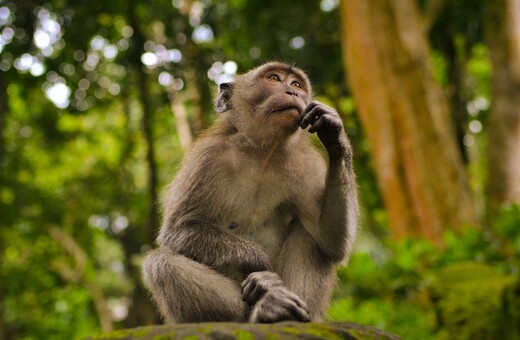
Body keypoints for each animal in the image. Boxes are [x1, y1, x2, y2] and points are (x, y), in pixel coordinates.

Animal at [144, 61, 360, 324]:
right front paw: (262, 267)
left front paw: (334, 133)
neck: (262, 152)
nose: (293, 92)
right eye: (274, 78)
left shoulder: (305, 165)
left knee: (311, 236)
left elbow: (331, 240)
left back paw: (294, 314)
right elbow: (178, 230)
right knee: (160, 262)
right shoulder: (207, 158)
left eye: (297, 84)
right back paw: (265, 308)